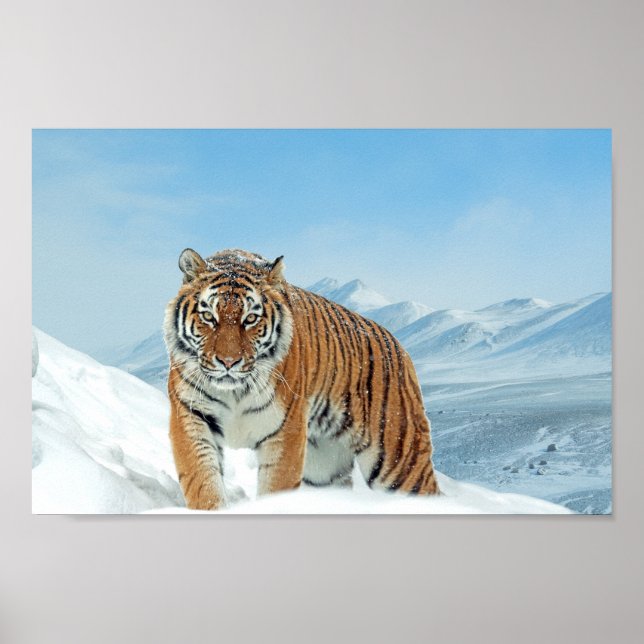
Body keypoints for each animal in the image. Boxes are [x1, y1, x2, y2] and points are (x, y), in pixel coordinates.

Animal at [163, 247, 439, 510]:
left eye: (250, 319)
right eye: (209, 317)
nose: (228, 362)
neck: (235, 392)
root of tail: (399, 346)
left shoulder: (285, 431)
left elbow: (276, 487)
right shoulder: (192, 416)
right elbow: (202, 481)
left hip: (399, 460)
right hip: (324, 468)